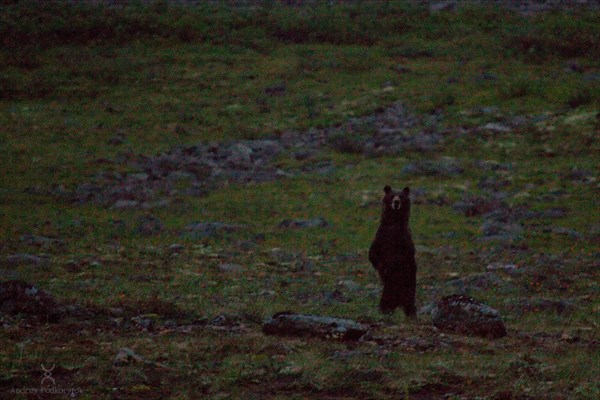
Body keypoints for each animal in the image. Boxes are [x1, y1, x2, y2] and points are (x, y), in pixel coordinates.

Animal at [366, 184, 418, 316]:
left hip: (409, 284)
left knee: (409, 299)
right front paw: (384, 268)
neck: (394, 223)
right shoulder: (381, 236)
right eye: (392, 195)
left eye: (401, 196)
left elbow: (403, 256)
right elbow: (373, 254)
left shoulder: (404, 240)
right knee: (387, 297)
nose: (396, 202)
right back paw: (385, 309)